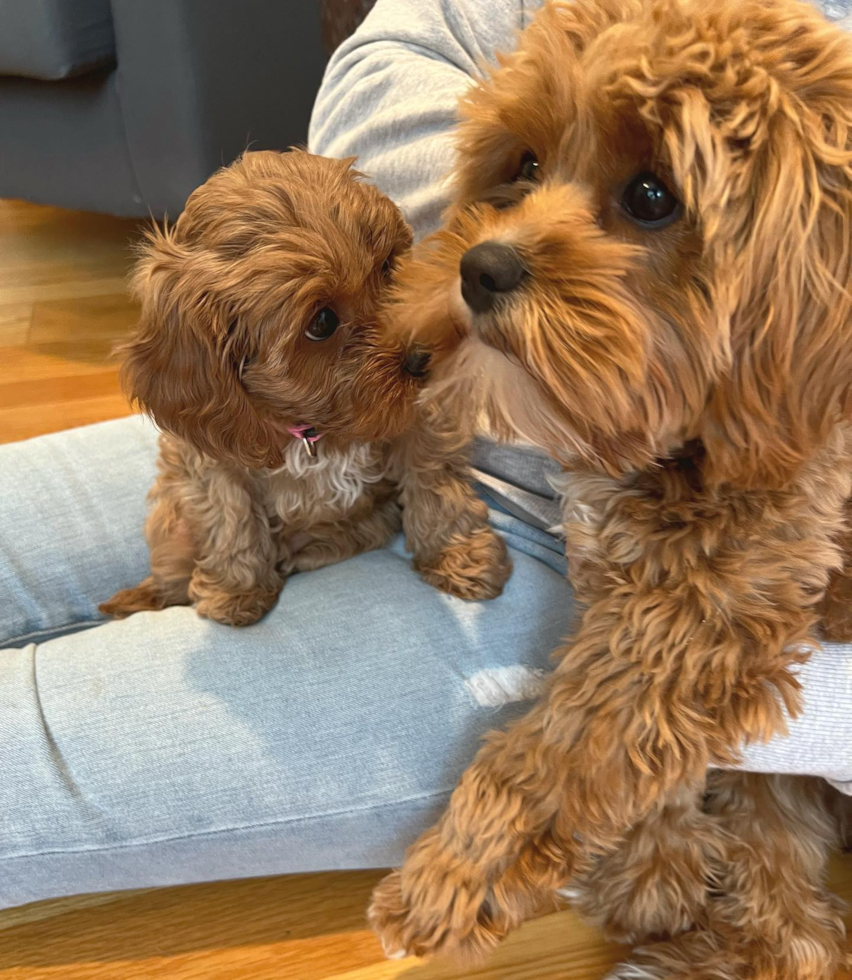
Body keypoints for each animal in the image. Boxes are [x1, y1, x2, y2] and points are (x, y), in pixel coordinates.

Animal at [102, 153, 510, 628]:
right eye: (322, 322)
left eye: (389, 266)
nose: (423, 356)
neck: (317, 427)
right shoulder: (211, 454)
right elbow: (230, 516)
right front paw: (235, 591)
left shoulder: (419, 417)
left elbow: (435, 482)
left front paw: (459, 555)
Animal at [370, 3, 852, 976]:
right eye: (524, 165)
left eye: (653, 196)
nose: (480, 267)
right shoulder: (625, 592)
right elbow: (655, 761)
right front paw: (653, 868)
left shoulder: (705, 617)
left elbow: (567, 750)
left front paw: (455, 874)